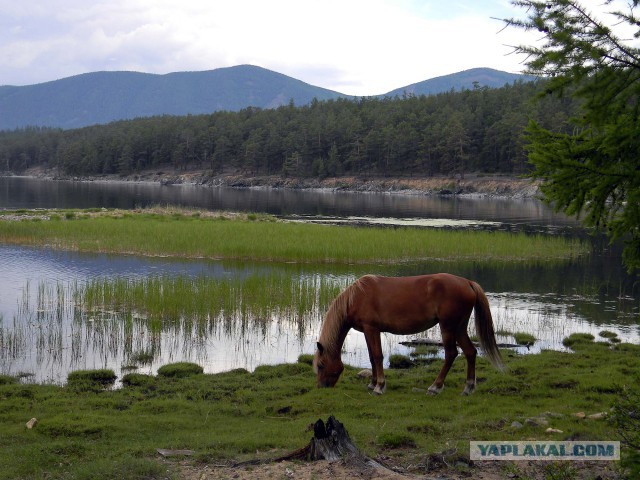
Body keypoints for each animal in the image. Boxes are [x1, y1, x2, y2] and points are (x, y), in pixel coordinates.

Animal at [314, 276, 504, 396]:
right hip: (459, 328)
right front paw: (372, 383)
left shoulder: (371, 329)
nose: (322, 387)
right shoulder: (368, 331)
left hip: (448, 327)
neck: (357, 297)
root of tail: (467, 283)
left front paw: (379, 386)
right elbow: (371, 357)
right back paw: (468, 387)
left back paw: (435, 387)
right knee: (470, 352)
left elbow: (377, 356)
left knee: (451, 354)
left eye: (321, 365)